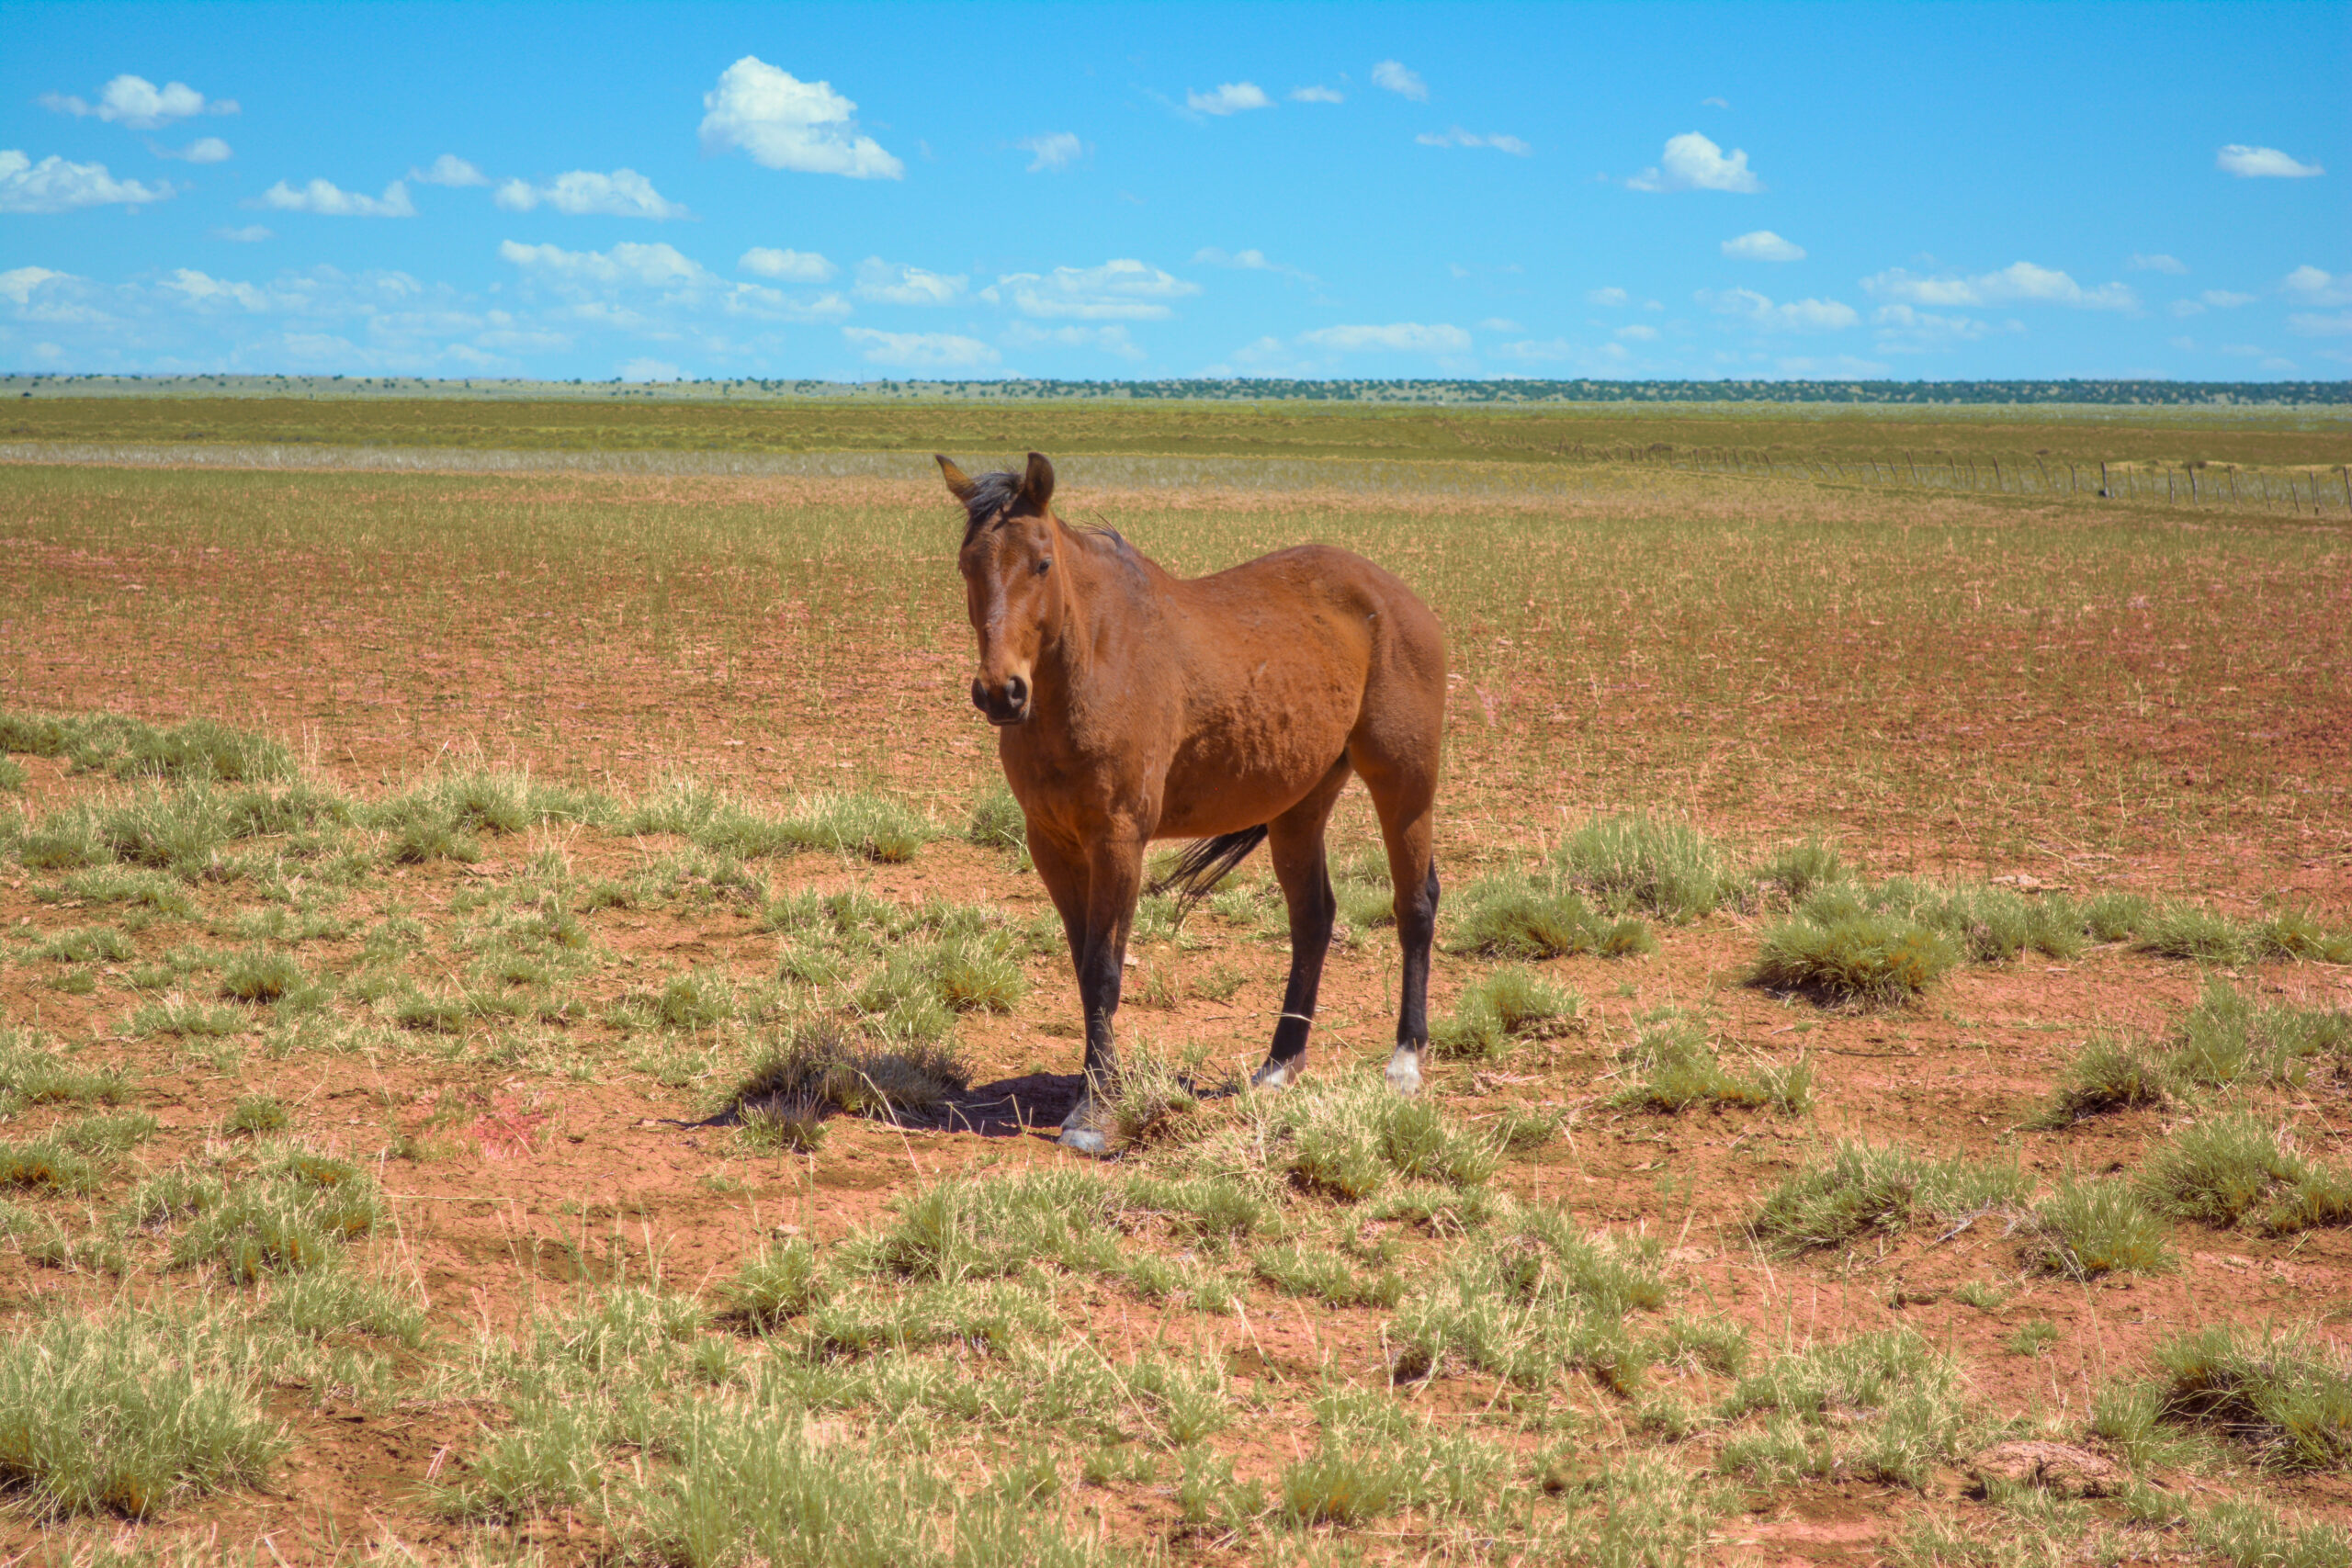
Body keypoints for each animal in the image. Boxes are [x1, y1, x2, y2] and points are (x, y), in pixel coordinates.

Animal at [937, 451, 1448, 1154]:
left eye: (1041, 563)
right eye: (967, 565)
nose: (1000, 692)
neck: (1094, 660)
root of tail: (1395, 596)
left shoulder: (1118, 840)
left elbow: (1104, 969)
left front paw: (1095, 1112)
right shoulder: (1052, 843)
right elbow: (1083, 969)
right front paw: (1096, 1089)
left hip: (1404, 783)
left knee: (1415, 905)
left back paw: (1404, 1063)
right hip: (1300, 805)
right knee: (1313, 918)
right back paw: (1278, 1065)